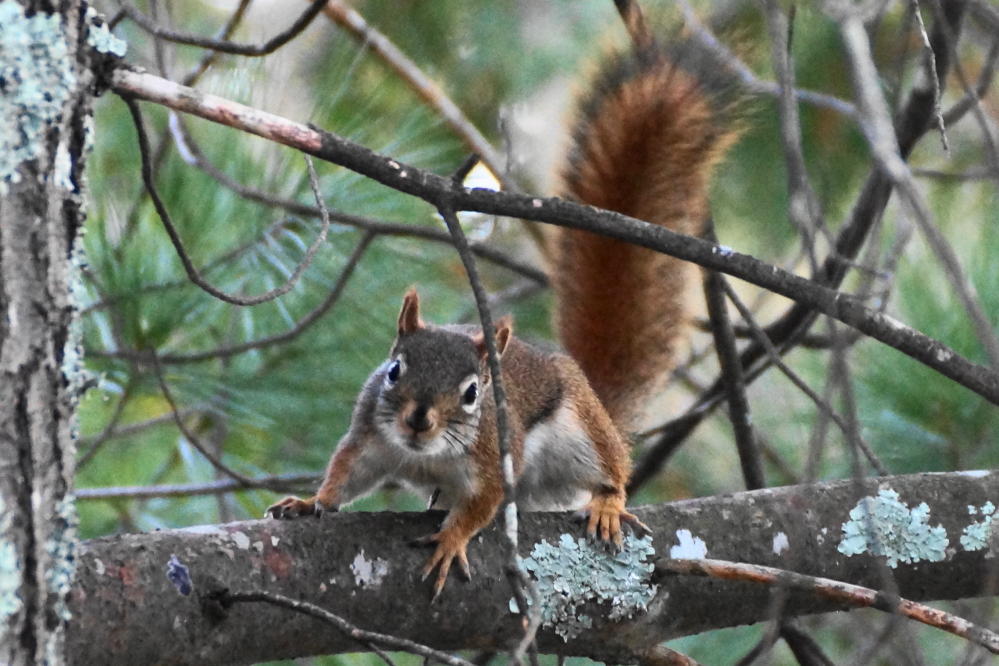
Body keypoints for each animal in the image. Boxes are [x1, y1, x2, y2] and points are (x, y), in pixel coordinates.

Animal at [267, 0, 739, 599]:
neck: (426, 455)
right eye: (395, 371)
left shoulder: (494, 462)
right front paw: (311, 502)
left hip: (581, 432)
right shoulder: (368, 437)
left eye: (474, 392)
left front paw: (450, 540)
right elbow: (343, 475)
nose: (418, 420)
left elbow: (481, 508)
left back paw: (607, 503)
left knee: (612, 469)